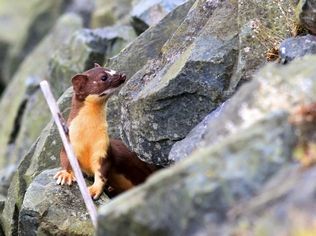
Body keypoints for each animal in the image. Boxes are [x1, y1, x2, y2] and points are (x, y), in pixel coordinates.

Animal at [53, 63, 160, 199]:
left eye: (111, 69)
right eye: (103, 77)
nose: (122, 75)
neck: (88, 135)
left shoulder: (102, 147)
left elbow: (102, 171)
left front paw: (93, 190)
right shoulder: (69, 139)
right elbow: (65, 158)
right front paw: (65, 175)